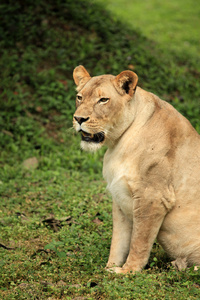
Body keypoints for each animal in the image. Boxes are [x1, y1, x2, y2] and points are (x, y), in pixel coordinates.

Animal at [72, 65, 200, 274]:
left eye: (103, 99)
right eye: (79, 97)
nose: (78, 118)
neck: (117, 145)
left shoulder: (153, 197)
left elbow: (139, 240)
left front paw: (128, 272)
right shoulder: (120, 197)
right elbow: (119, 240)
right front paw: (110, 268)